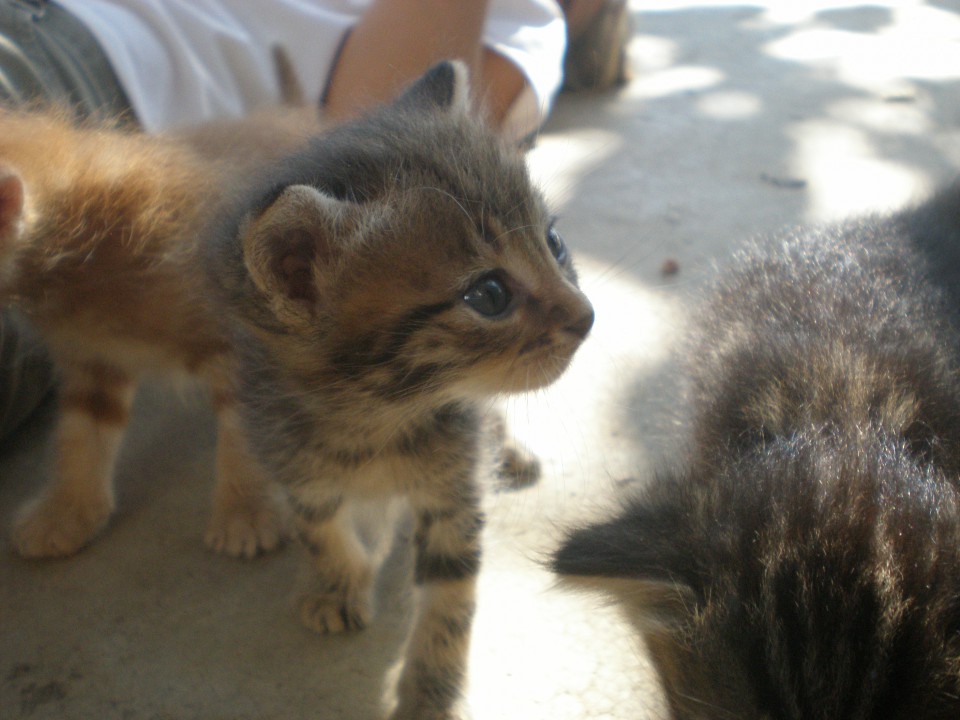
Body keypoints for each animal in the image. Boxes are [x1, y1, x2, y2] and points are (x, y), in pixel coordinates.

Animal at [204, 63, 592, 720]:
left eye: (555, 243)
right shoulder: (291, 459)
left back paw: (509, 453)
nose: (587, 316)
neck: (376, 417)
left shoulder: (455, 492)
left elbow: (449, 600)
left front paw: (429, 691)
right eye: (489, 295)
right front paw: (338, 583)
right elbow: (321, 527)